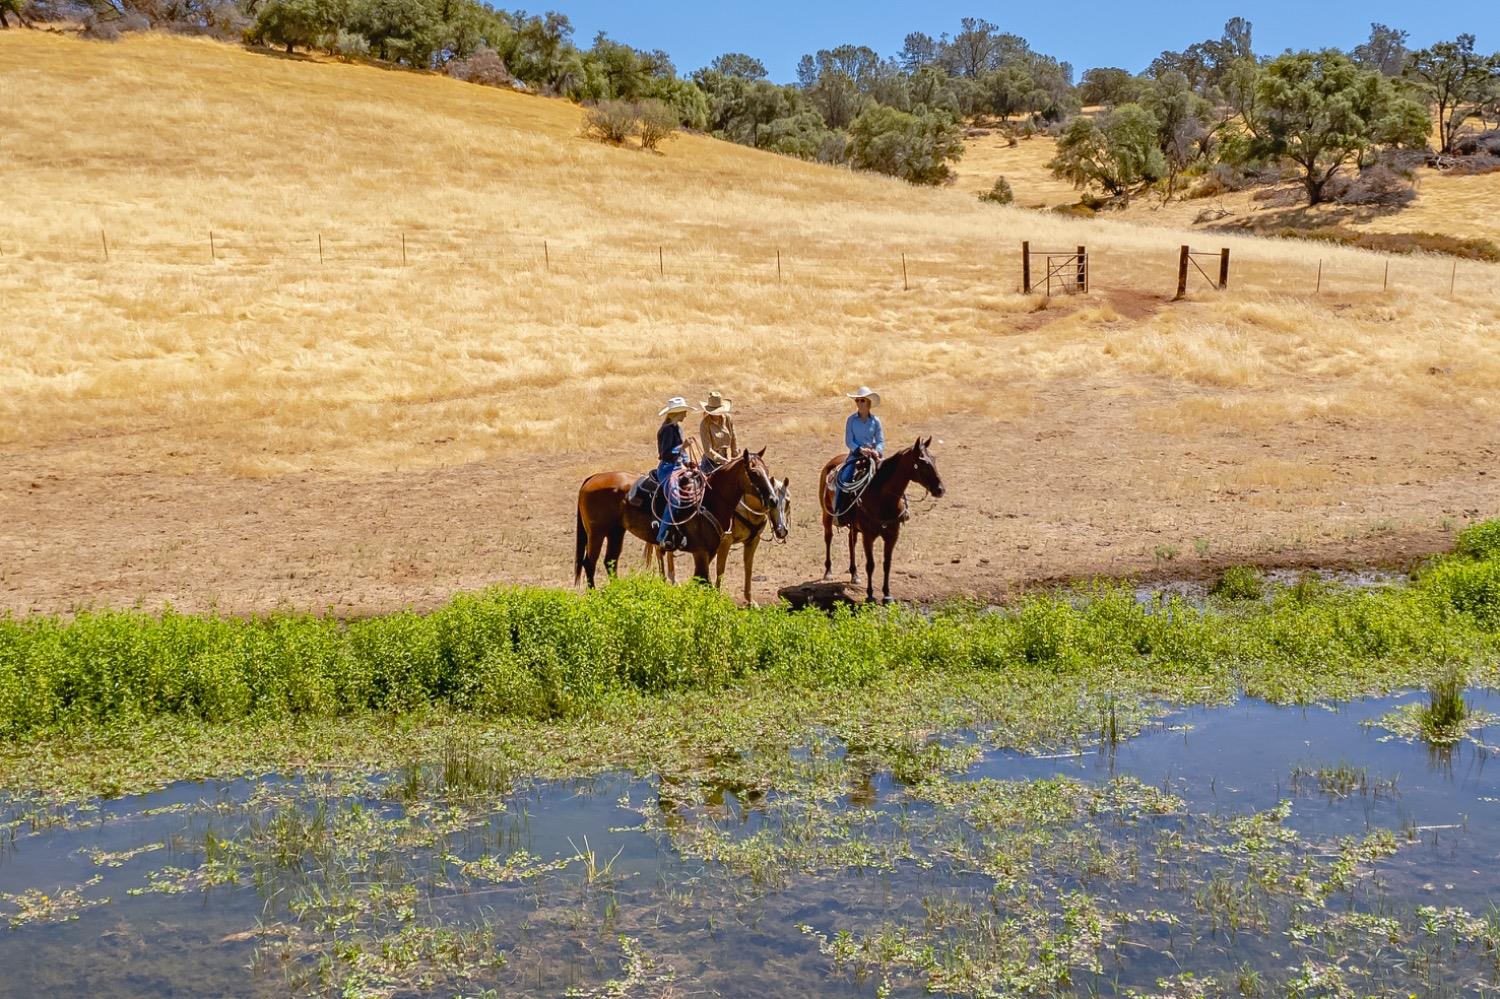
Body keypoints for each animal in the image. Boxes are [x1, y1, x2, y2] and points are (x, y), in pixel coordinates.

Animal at [570, 447, 774, 588]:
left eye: (767, 471)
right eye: (754, 473)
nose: (772, 499)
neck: (709, 499)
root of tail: (592, 478)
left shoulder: (710, 551)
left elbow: (699, 581)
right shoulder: (700, 552)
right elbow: (704, 582)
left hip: (616, 531)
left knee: (610, 562)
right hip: (597, 533)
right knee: (590, 563)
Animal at [828, 438, 942, 606]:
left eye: (933, 460)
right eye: (923, 463)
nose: (941, 489)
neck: (883, 498)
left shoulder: (892, 535)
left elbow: (887, 564)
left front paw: (887, 595)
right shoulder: (868, 536)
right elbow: (870, 565)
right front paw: (870, 595)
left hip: (854, 527)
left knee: (851, 542)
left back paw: (854, 574)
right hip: (827, 516)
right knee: (828, 538)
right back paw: (828, 572)